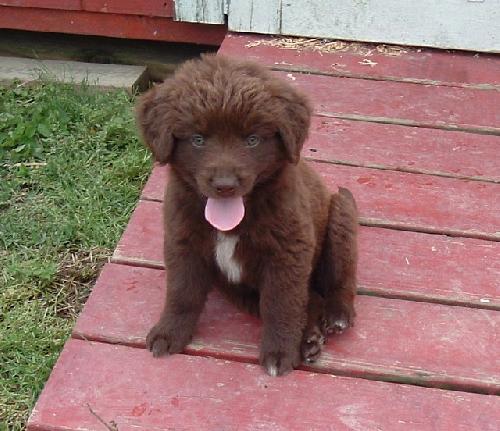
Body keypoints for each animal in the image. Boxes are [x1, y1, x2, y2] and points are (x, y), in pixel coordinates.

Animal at [135, 54, 358, 376]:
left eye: (252, 140)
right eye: (198, 139)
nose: (225, 185)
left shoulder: (288, 251)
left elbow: (281, 304)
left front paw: (279, 352)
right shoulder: (182, 241)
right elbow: (182, 292)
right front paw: (169, 332)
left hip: (342, 212)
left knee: (340, 278)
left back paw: (336, 315)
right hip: (235, 289)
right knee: (306, 299)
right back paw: (309, 339)